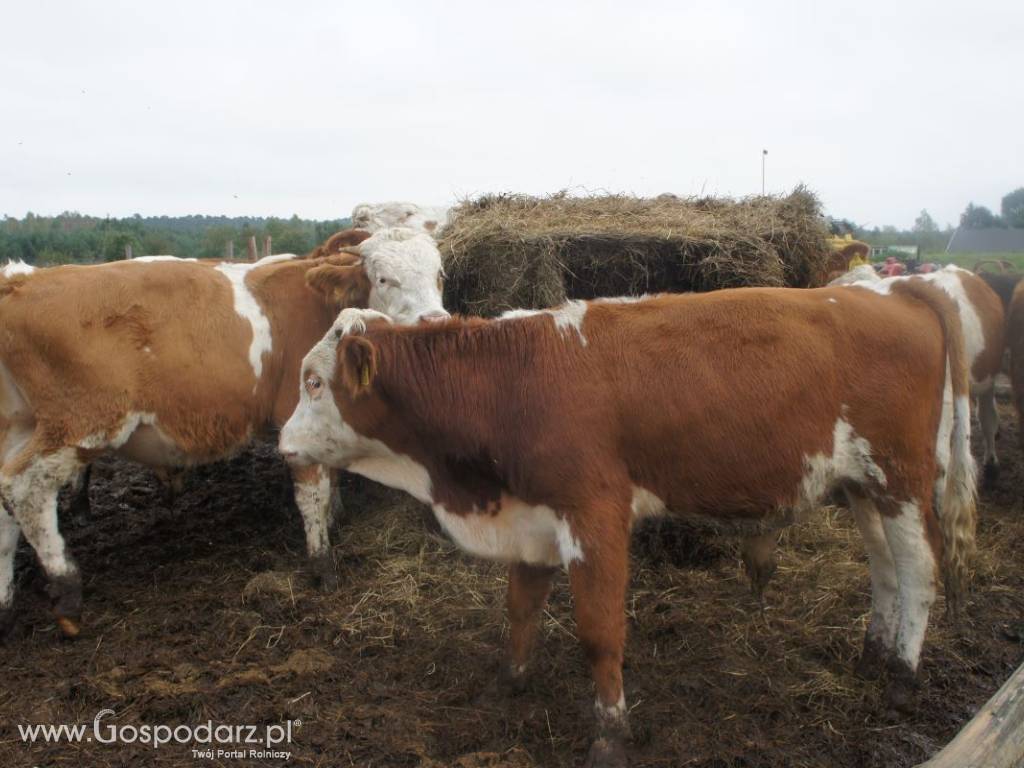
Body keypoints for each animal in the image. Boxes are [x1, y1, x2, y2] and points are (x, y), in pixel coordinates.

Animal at [0, 227, 448, 638]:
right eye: (383, 278)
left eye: (439, 274)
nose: (435, 322)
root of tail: (21, 282)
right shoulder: (299, 412)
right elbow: (312, 494)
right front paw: (322, 564)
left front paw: (336, 520)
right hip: (83, 424)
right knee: (25, 489)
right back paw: (66, 591)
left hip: (20, 426)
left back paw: (5, 606)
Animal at [278, 286, 974, 765]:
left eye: (313, 381)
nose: (282, 446)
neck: (515, 380)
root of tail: (890, 290)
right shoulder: (532, 516)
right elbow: (521, 607)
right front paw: (511, 682)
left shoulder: (595, 514)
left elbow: (600, 632)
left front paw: (611, 733)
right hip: (863, 486)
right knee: (885, 570)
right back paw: (873, 653)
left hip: (902, 477)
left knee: (920, 571)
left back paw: (902, 678)